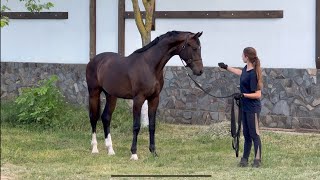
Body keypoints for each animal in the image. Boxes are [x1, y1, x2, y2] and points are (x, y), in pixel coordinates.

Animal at [86, 31, 204, 160]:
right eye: (194, 48)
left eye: (200, 48)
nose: (200, 71)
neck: (149, 65)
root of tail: (94, 60)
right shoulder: (138, 99)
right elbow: (136, 126)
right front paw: (134, 154)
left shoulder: (154, 98)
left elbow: (152, 125)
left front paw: (153, 152)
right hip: (94, 93)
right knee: (93, 118)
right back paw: (95, 148)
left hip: (111, 96)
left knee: (106, 117)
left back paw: (110, 150)